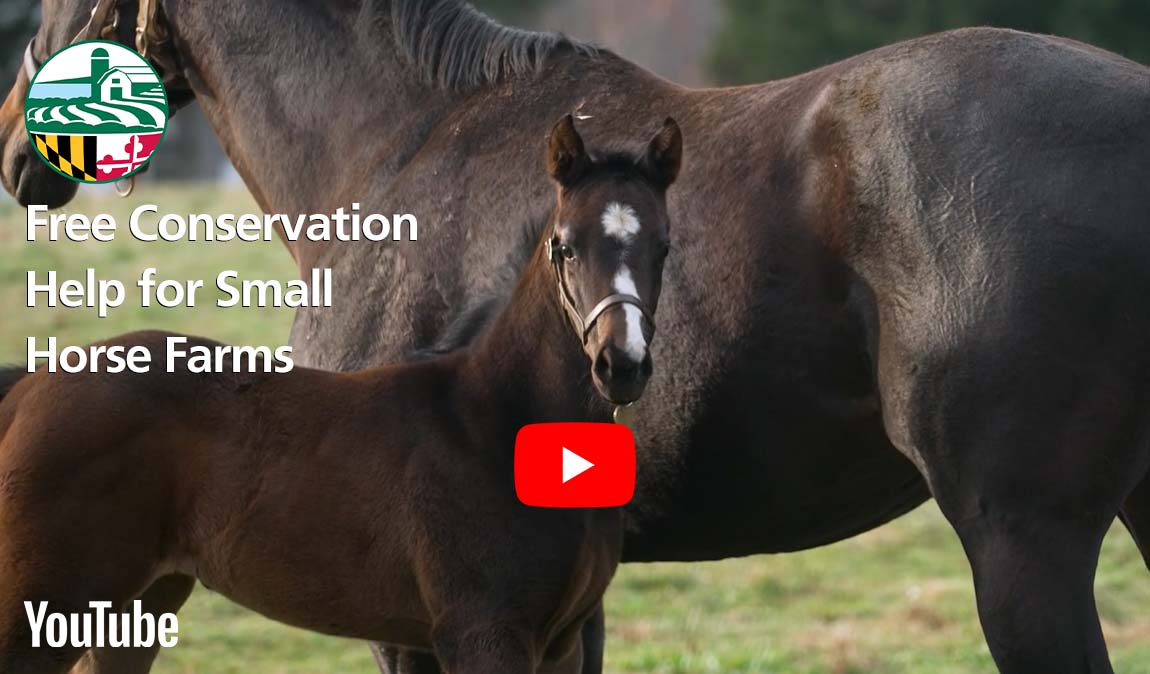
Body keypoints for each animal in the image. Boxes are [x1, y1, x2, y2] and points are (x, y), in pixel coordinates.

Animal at [0, 115, 680, 671]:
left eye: (664, 247)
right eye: (565, 245)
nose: (620, 364)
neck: (499, 420)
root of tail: (31, 384)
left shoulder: (559, 643)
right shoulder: (485, 632)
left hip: (136, 607)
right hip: (45, 608)